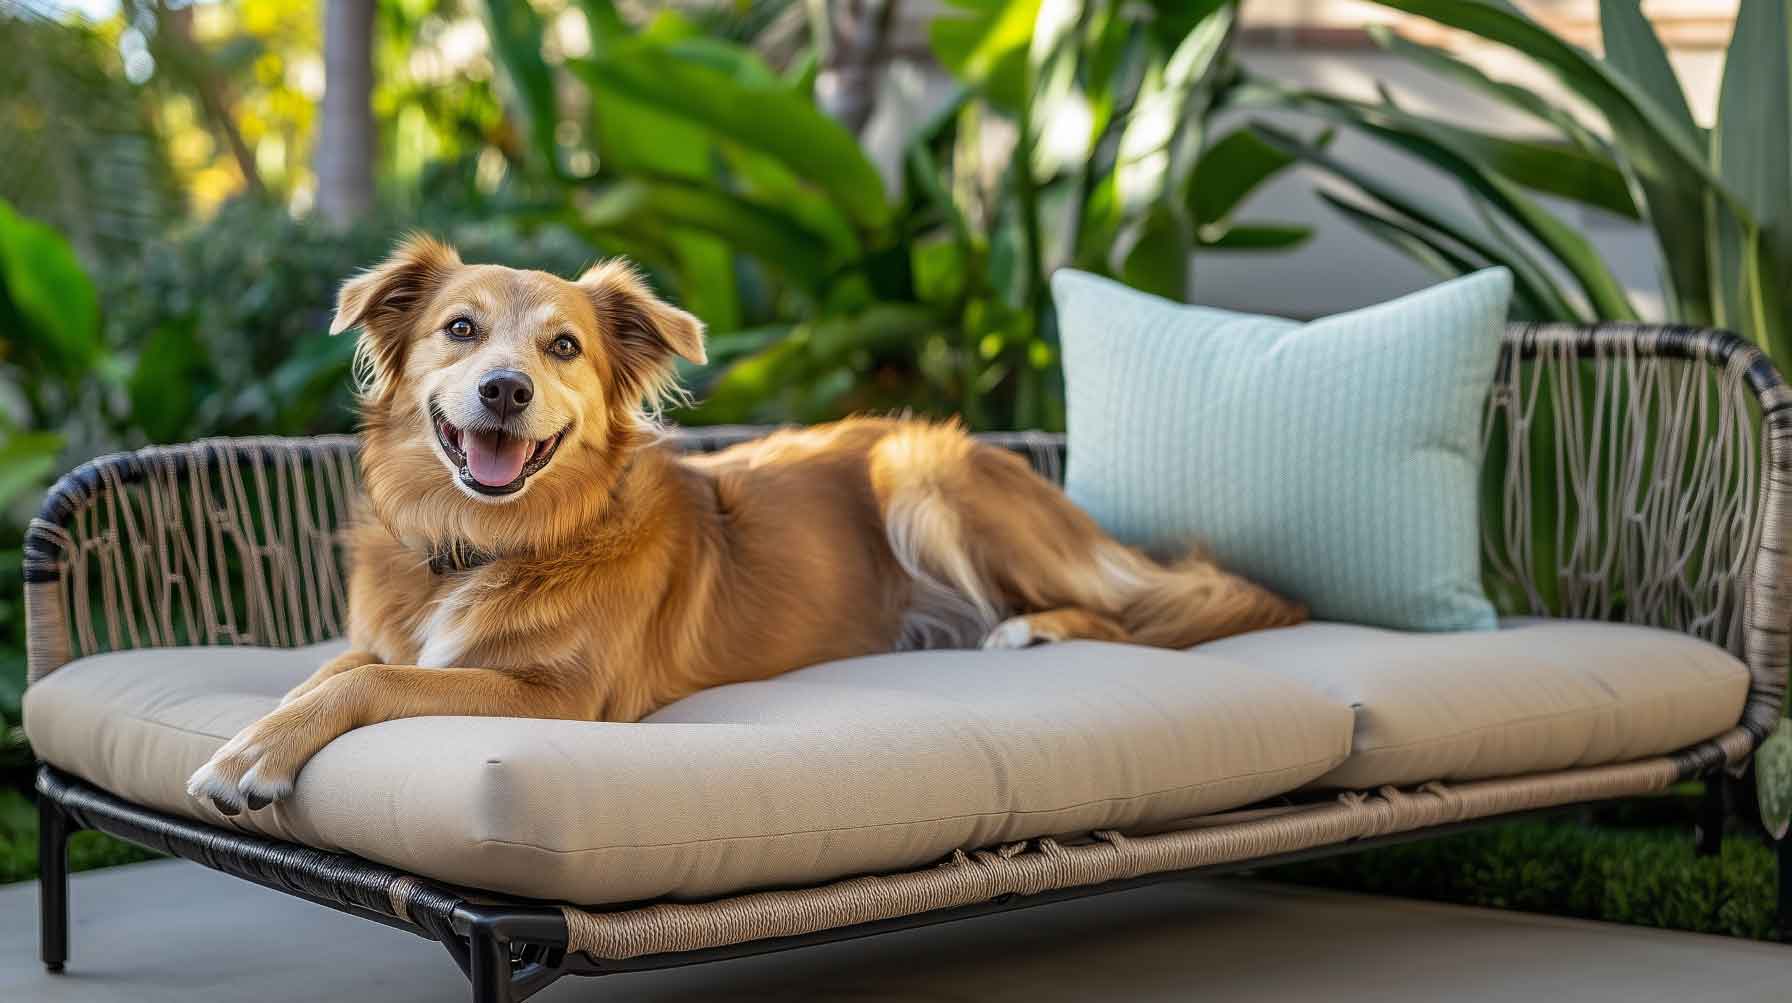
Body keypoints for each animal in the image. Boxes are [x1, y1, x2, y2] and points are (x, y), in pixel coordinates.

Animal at [185, 236, 1304, 816]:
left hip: (922, 472)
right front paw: (259, 727)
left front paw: (246, 760)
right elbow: (338, 669)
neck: (484, 542)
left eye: (563, 347)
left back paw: (1030, 629)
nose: (505, 390)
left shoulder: (562, 700)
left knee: (1120, 612)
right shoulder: (397, 637)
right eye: (459, 330)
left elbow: (375, 682)